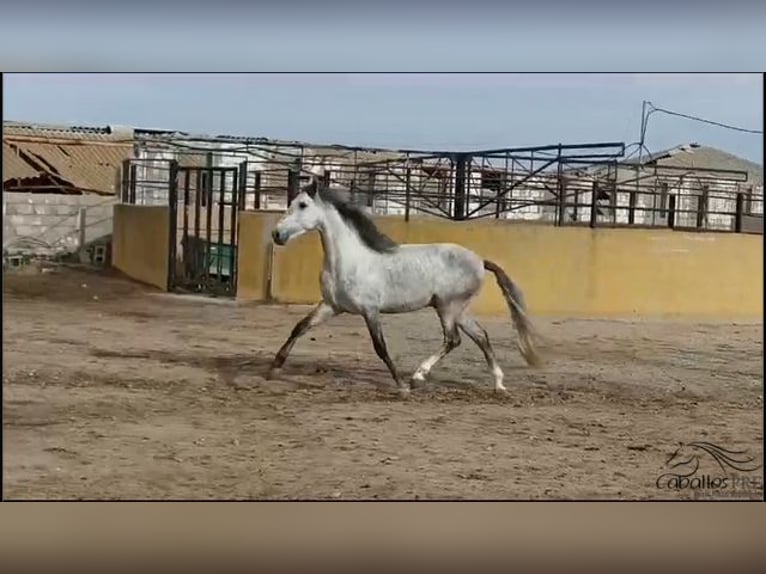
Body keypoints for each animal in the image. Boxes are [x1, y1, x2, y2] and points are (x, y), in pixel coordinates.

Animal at [270, 178, 540, 398]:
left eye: (302, 205)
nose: (276, 234)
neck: (350, 261)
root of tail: (480, 260)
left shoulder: (370, 310)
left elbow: (380, 347)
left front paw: (401, 386)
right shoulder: (331, 306)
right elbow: (300, 327)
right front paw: (274, 366)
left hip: (447, 307)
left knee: (453, 339)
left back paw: (418, 377)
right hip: (458, 310)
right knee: (481, 336)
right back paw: (499, 384)